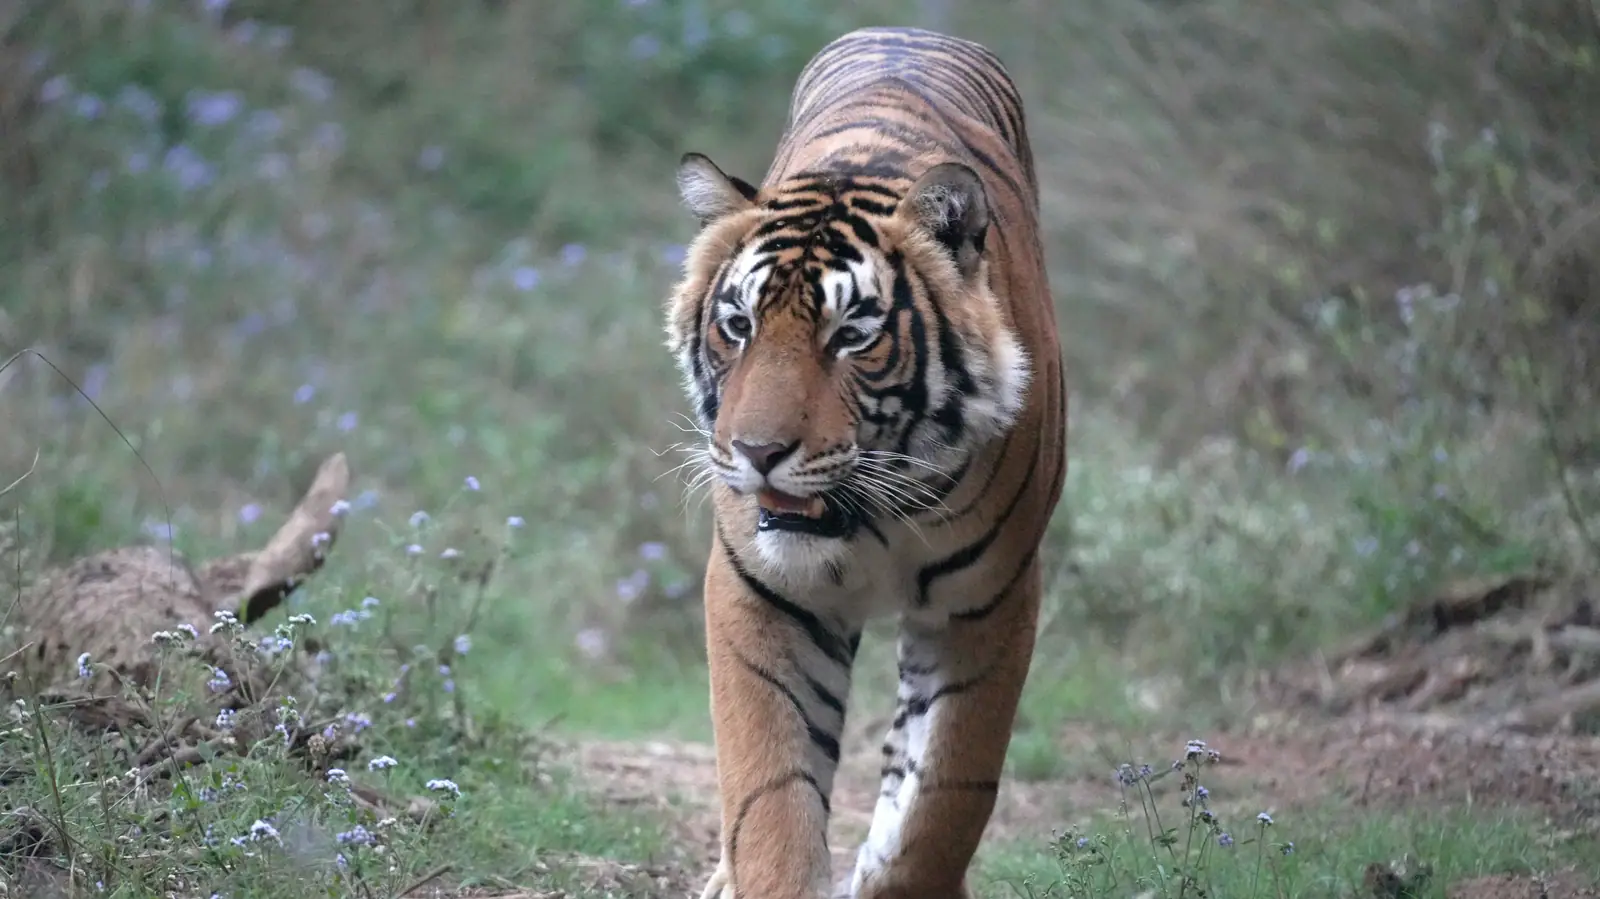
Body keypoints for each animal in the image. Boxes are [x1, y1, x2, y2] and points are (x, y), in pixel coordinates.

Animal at [664, 25, 1067, 899]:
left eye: (851, 335)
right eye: (738, 324)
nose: (756, 453)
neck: (875, 516)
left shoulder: (992, 602)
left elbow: (945, 793)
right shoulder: (760, 590)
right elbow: (769, 790)